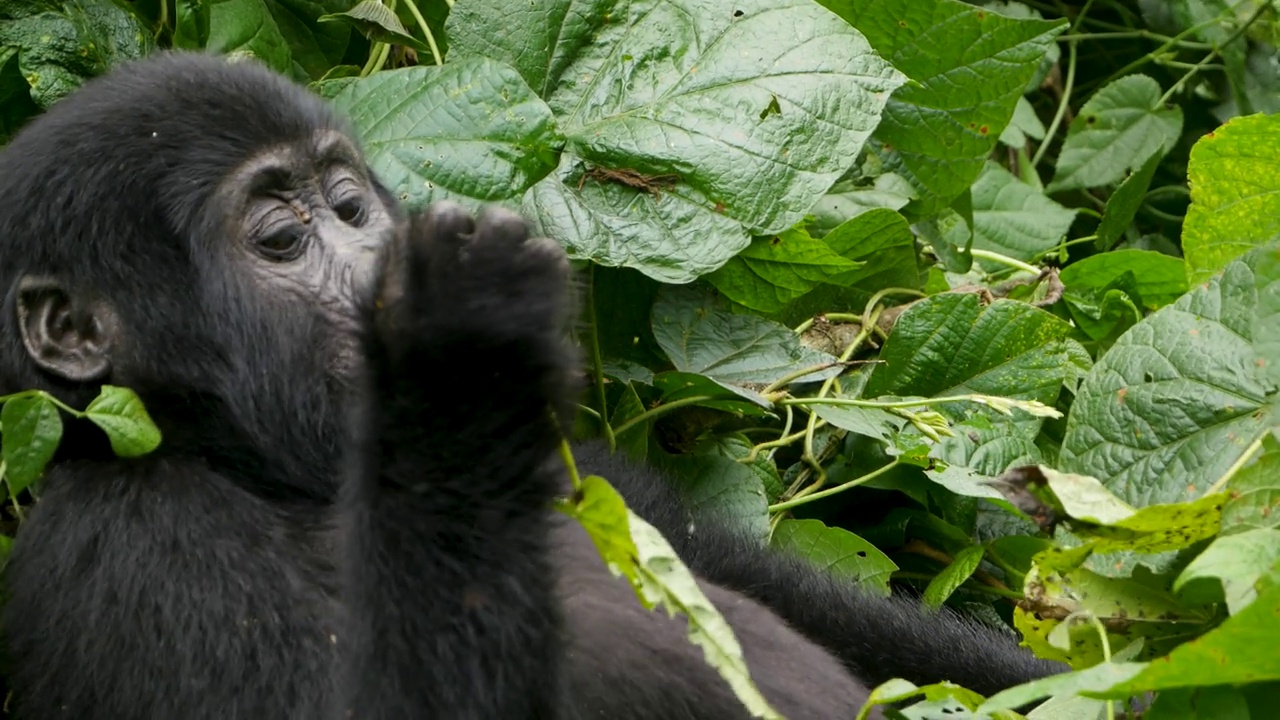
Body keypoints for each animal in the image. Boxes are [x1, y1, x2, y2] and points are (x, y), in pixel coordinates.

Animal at [0, 51, 1059, 717]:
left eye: (350, 205)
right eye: (281, 239)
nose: (382, 259)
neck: (258, 466)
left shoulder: (599, 479)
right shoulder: (136, 543)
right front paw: (460, 362)